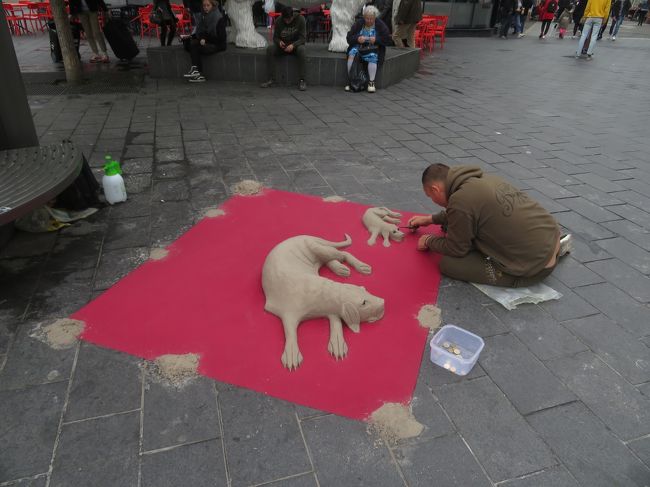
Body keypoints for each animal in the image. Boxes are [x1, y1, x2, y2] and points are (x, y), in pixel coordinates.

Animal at [260, 235, 382, 370]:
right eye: (364, 303)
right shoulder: (289, 312)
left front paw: (338, 343)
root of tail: (302, 236)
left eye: (365, 289)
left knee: (341, 254)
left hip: (320, 249)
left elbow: (336, 322)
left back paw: (355, 266)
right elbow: (290, 331)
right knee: (333, 257)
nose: (383, 302)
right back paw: (341, 268)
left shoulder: (330, 309)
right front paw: (291, 353)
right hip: (315, 246)